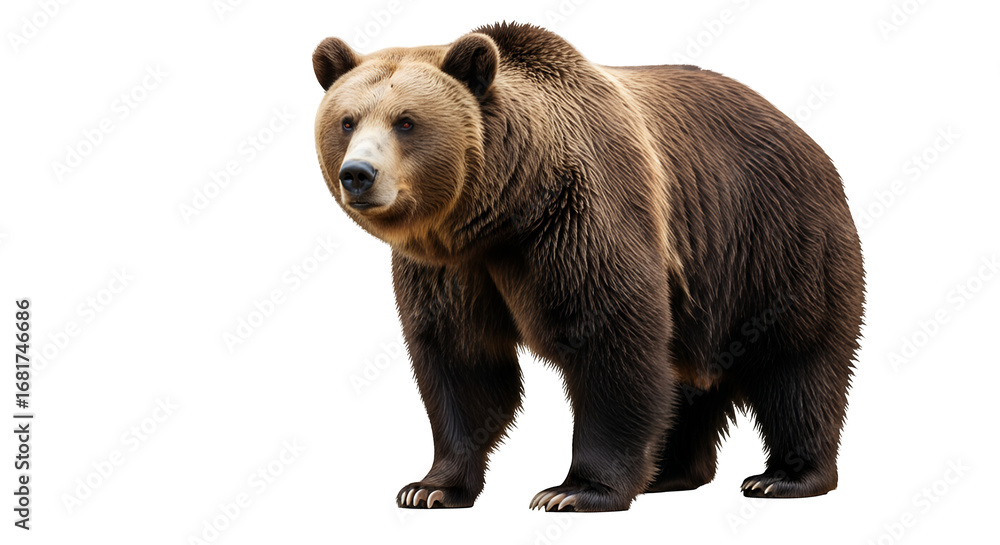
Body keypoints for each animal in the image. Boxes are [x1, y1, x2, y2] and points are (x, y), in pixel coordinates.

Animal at [312, 22, 864, 512]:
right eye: (347, 121)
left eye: (406, 121)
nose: (358, 174)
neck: (504, 211)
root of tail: (804, 135)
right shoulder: (451, 267)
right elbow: (460, 359)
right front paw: (429, 488)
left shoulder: (579, 218)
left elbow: (610, 338)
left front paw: (574, 491)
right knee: (687, 374)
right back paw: (668, 472)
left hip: (772, 242)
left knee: (798, 359)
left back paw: (784, 477)